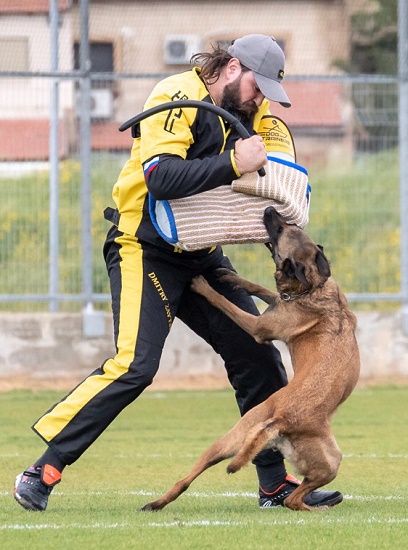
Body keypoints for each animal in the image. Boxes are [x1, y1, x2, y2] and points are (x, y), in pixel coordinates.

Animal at [141, 206, 360, 512]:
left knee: (289, 498)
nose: (269, 209)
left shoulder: (259, 327)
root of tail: (282, 419)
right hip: (242, 445)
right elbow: (257, 287)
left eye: (280, 230)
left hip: (259, 443)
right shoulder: (277, 302)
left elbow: (225, 303)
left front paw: (202, 284)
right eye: (287, 225)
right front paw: (229, 277)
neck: (314, 287)